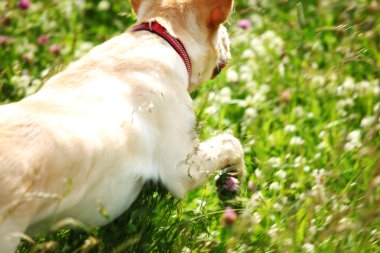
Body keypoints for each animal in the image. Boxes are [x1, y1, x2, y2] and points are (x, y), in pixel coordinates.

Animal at [0, 0, 245, 252]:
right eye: (222, 30)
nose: (228, 39)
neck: (162, 36)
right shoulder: (183, 168)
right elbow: (232, 143)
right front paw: (235, 187)